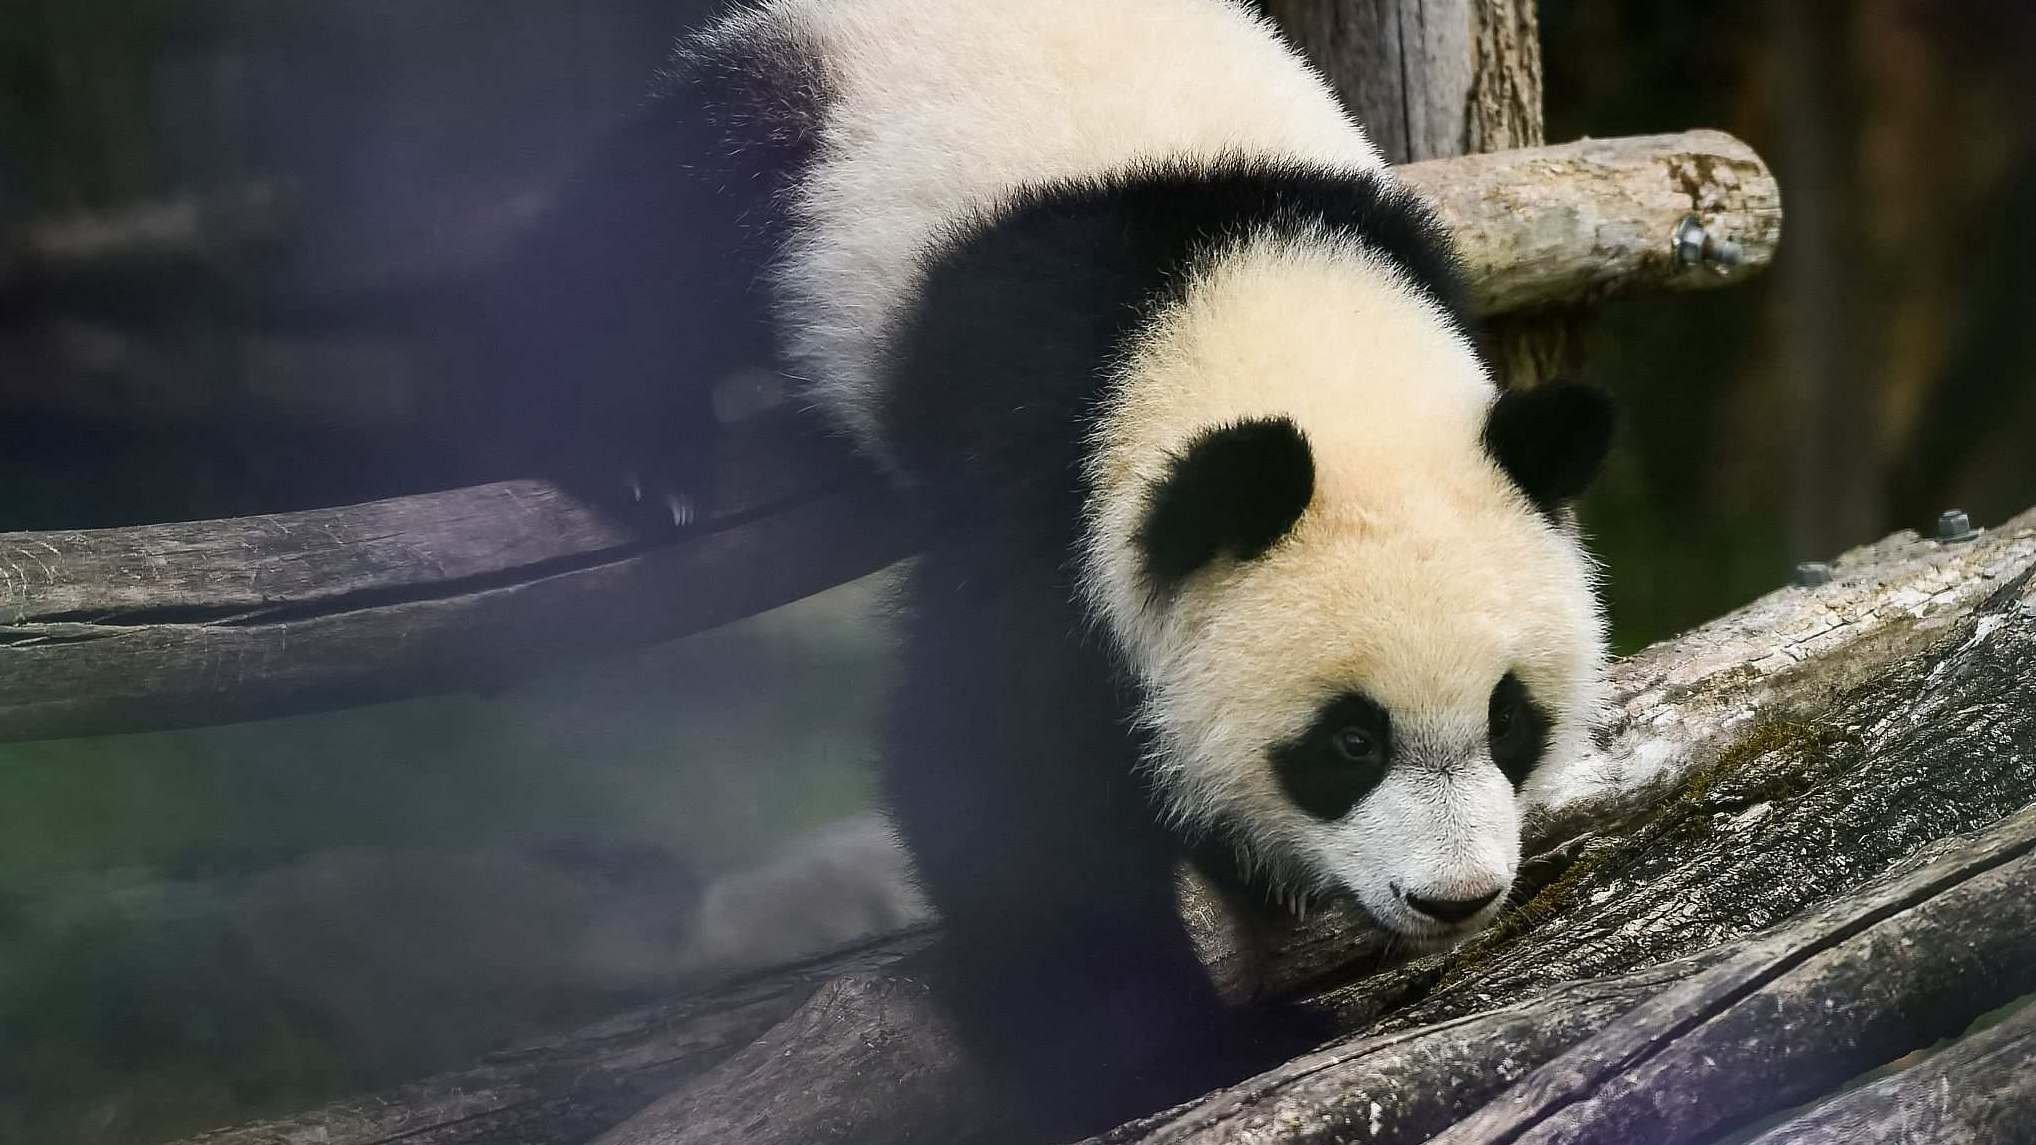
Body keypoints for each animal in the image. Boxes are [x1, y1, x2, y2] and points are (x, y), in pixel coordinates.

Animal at [484, 0, 1615, 1135]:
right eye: (1349, 741)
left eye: (1508, 719)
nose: (1454, 897)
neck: (1243, 284)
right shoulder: (1045, 459)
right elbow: (998, 775)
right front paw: (1185, 1052)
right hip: (807, 113)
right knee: (654, 229)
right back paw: (623, 449)